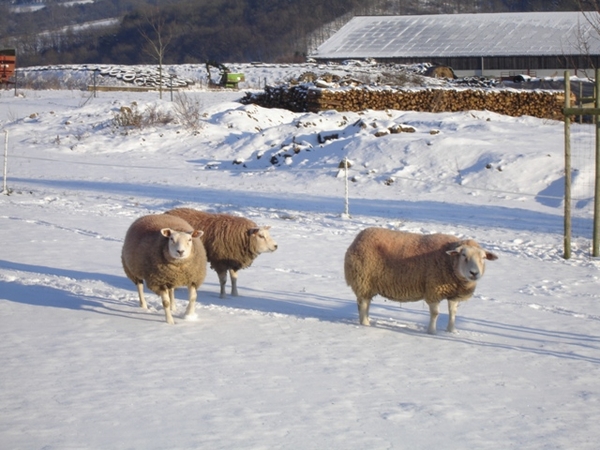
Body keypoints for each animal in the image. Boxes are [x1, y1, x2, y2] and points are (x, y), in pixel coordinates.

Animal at [342, 229, 496, 334]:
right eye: (463, 255)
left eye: (483, 258)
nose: (474, 273)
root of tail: (359, 237)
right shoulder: (433, 290)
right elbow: (435, 313)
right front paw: (432, 332)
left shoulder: (453, 294)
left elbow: (453, 313)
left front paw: (451, 331)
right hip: (363, 281)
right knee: (363, 305)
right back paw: (365, 325)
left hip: (367, 284)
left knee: (365, 305)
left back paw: (367, 322)